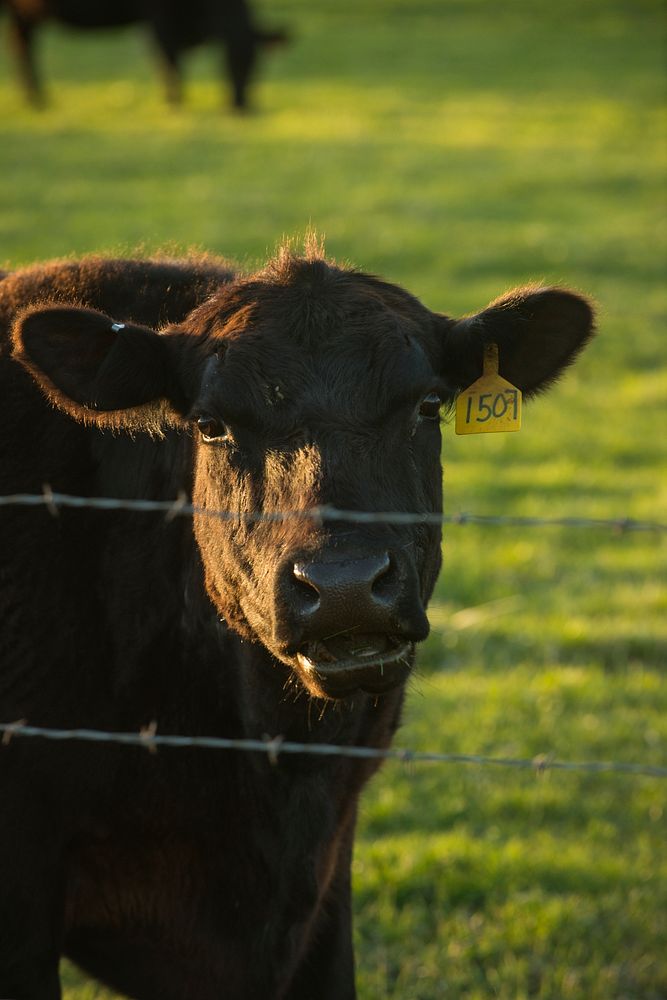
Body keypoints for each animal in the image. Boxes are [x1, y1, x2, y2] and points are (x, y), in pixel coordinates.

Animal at [2, 0, 290, 110]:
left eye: (257, 66)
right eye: (229, 60)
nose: (242, 108)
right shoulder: (158, 18)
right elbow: (169, 63)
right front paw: (174, 104)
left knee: (20, 45)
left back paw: (37, 100)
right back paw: (37, 100)